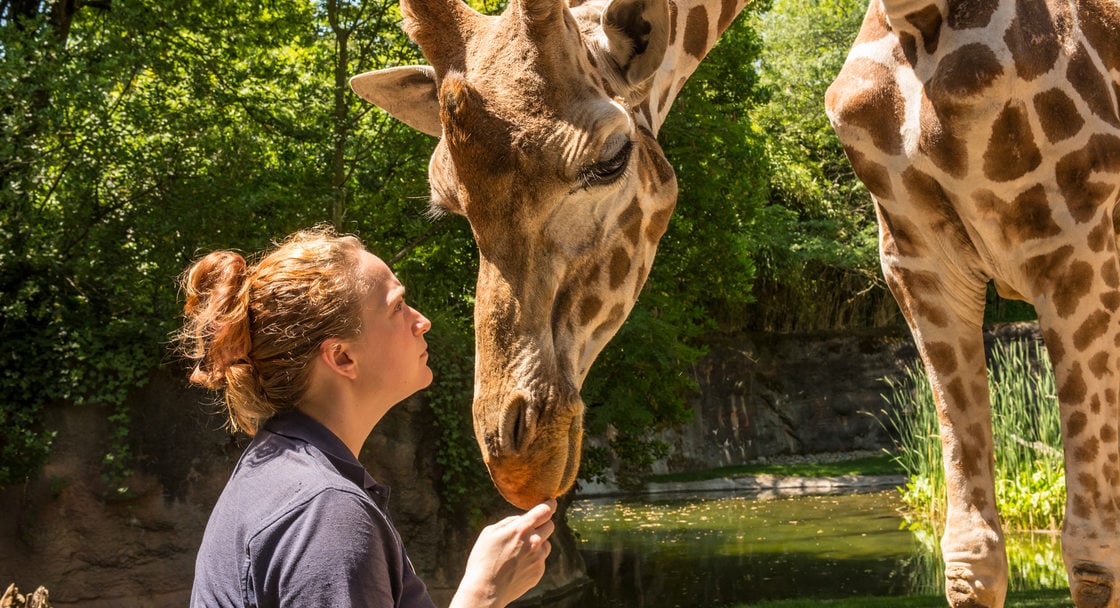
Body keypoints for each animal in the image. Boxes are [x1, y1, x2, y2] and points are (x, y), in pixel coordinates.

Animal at [349, 0, 1120, 604]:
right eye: (448, 199)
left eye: (609, 159)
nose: (516, 456)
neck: (918, 15)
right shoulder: (920, 261)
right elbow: (969, 555)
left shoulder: (1077, 247)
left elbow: (1090, 555)